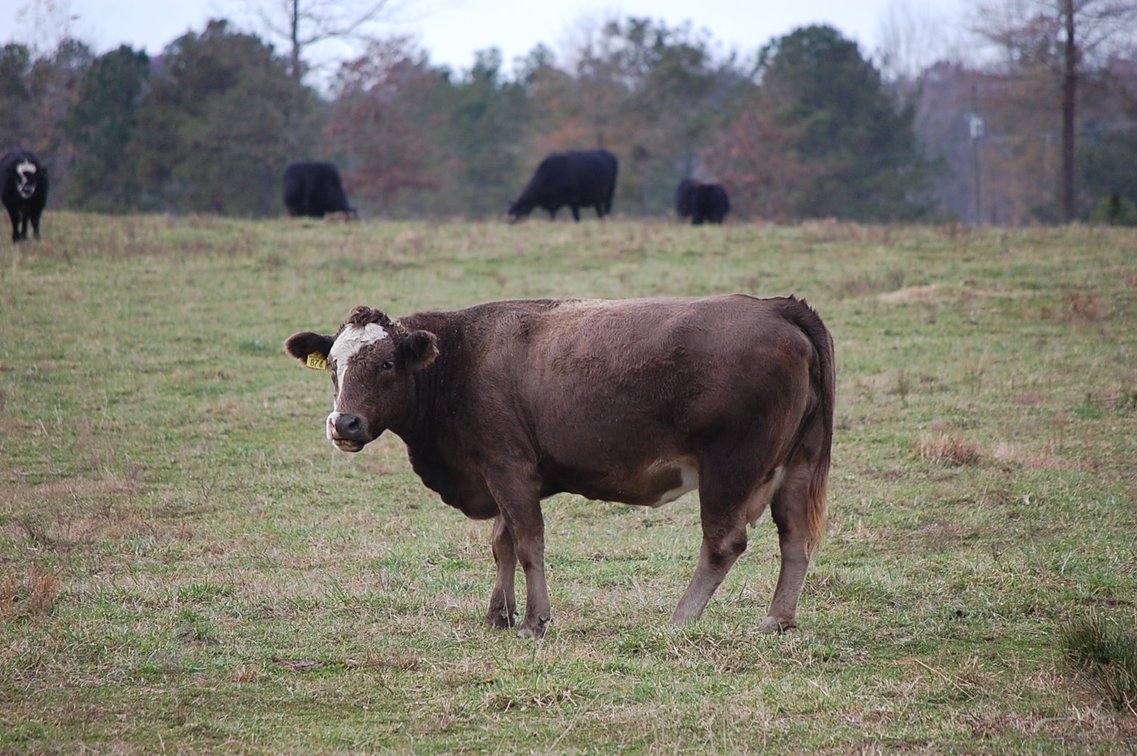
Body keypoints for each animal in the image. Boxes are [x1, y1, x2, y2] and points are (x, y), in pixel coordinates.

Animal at [285, 294, 835, 639]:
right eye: (334, 366)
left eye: (386, 364)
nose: (344, 423)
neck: (460, 358)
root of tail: (777, 307)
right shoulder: (499, 473)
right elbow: (502, 544)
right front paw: (499, 614)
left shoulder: (509, 467)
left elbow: (528, 543)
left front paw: (534, 621)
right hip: (798, 465)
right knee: (796, 539)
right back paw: (777, 621)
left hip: (730, 468)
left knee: (723, 544)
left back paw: (680, 619)